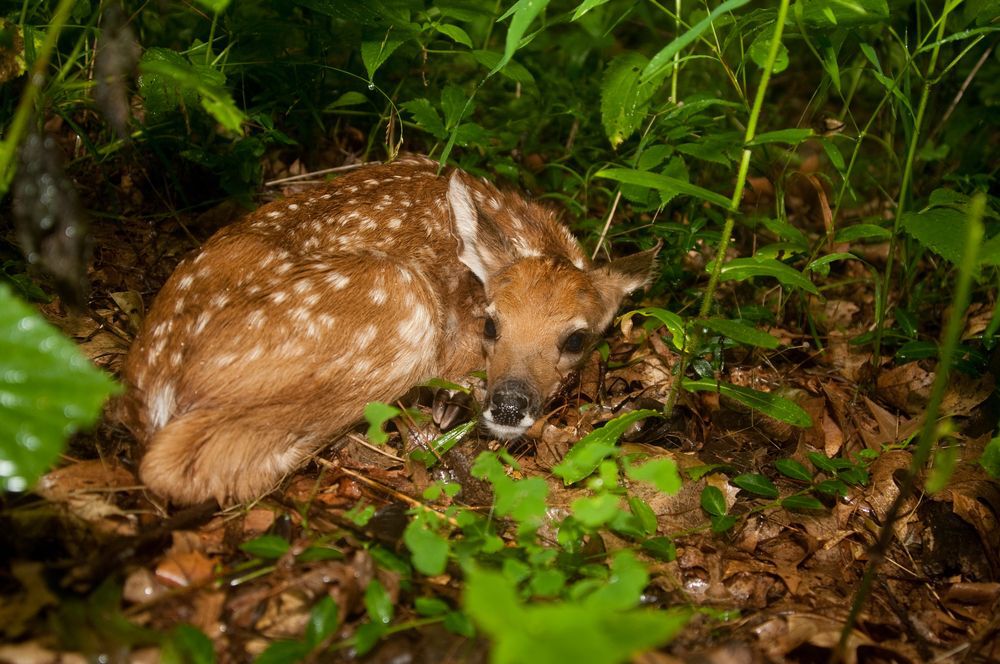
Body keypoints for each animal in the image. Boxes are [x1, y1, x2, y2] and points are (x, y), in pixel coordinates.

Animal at [120, 155, 658, 506]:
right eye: (490, 323)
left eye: (575, 339)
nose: (507, 404)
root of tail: (157, 382)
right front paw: (450, 400)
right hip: (398, 298)